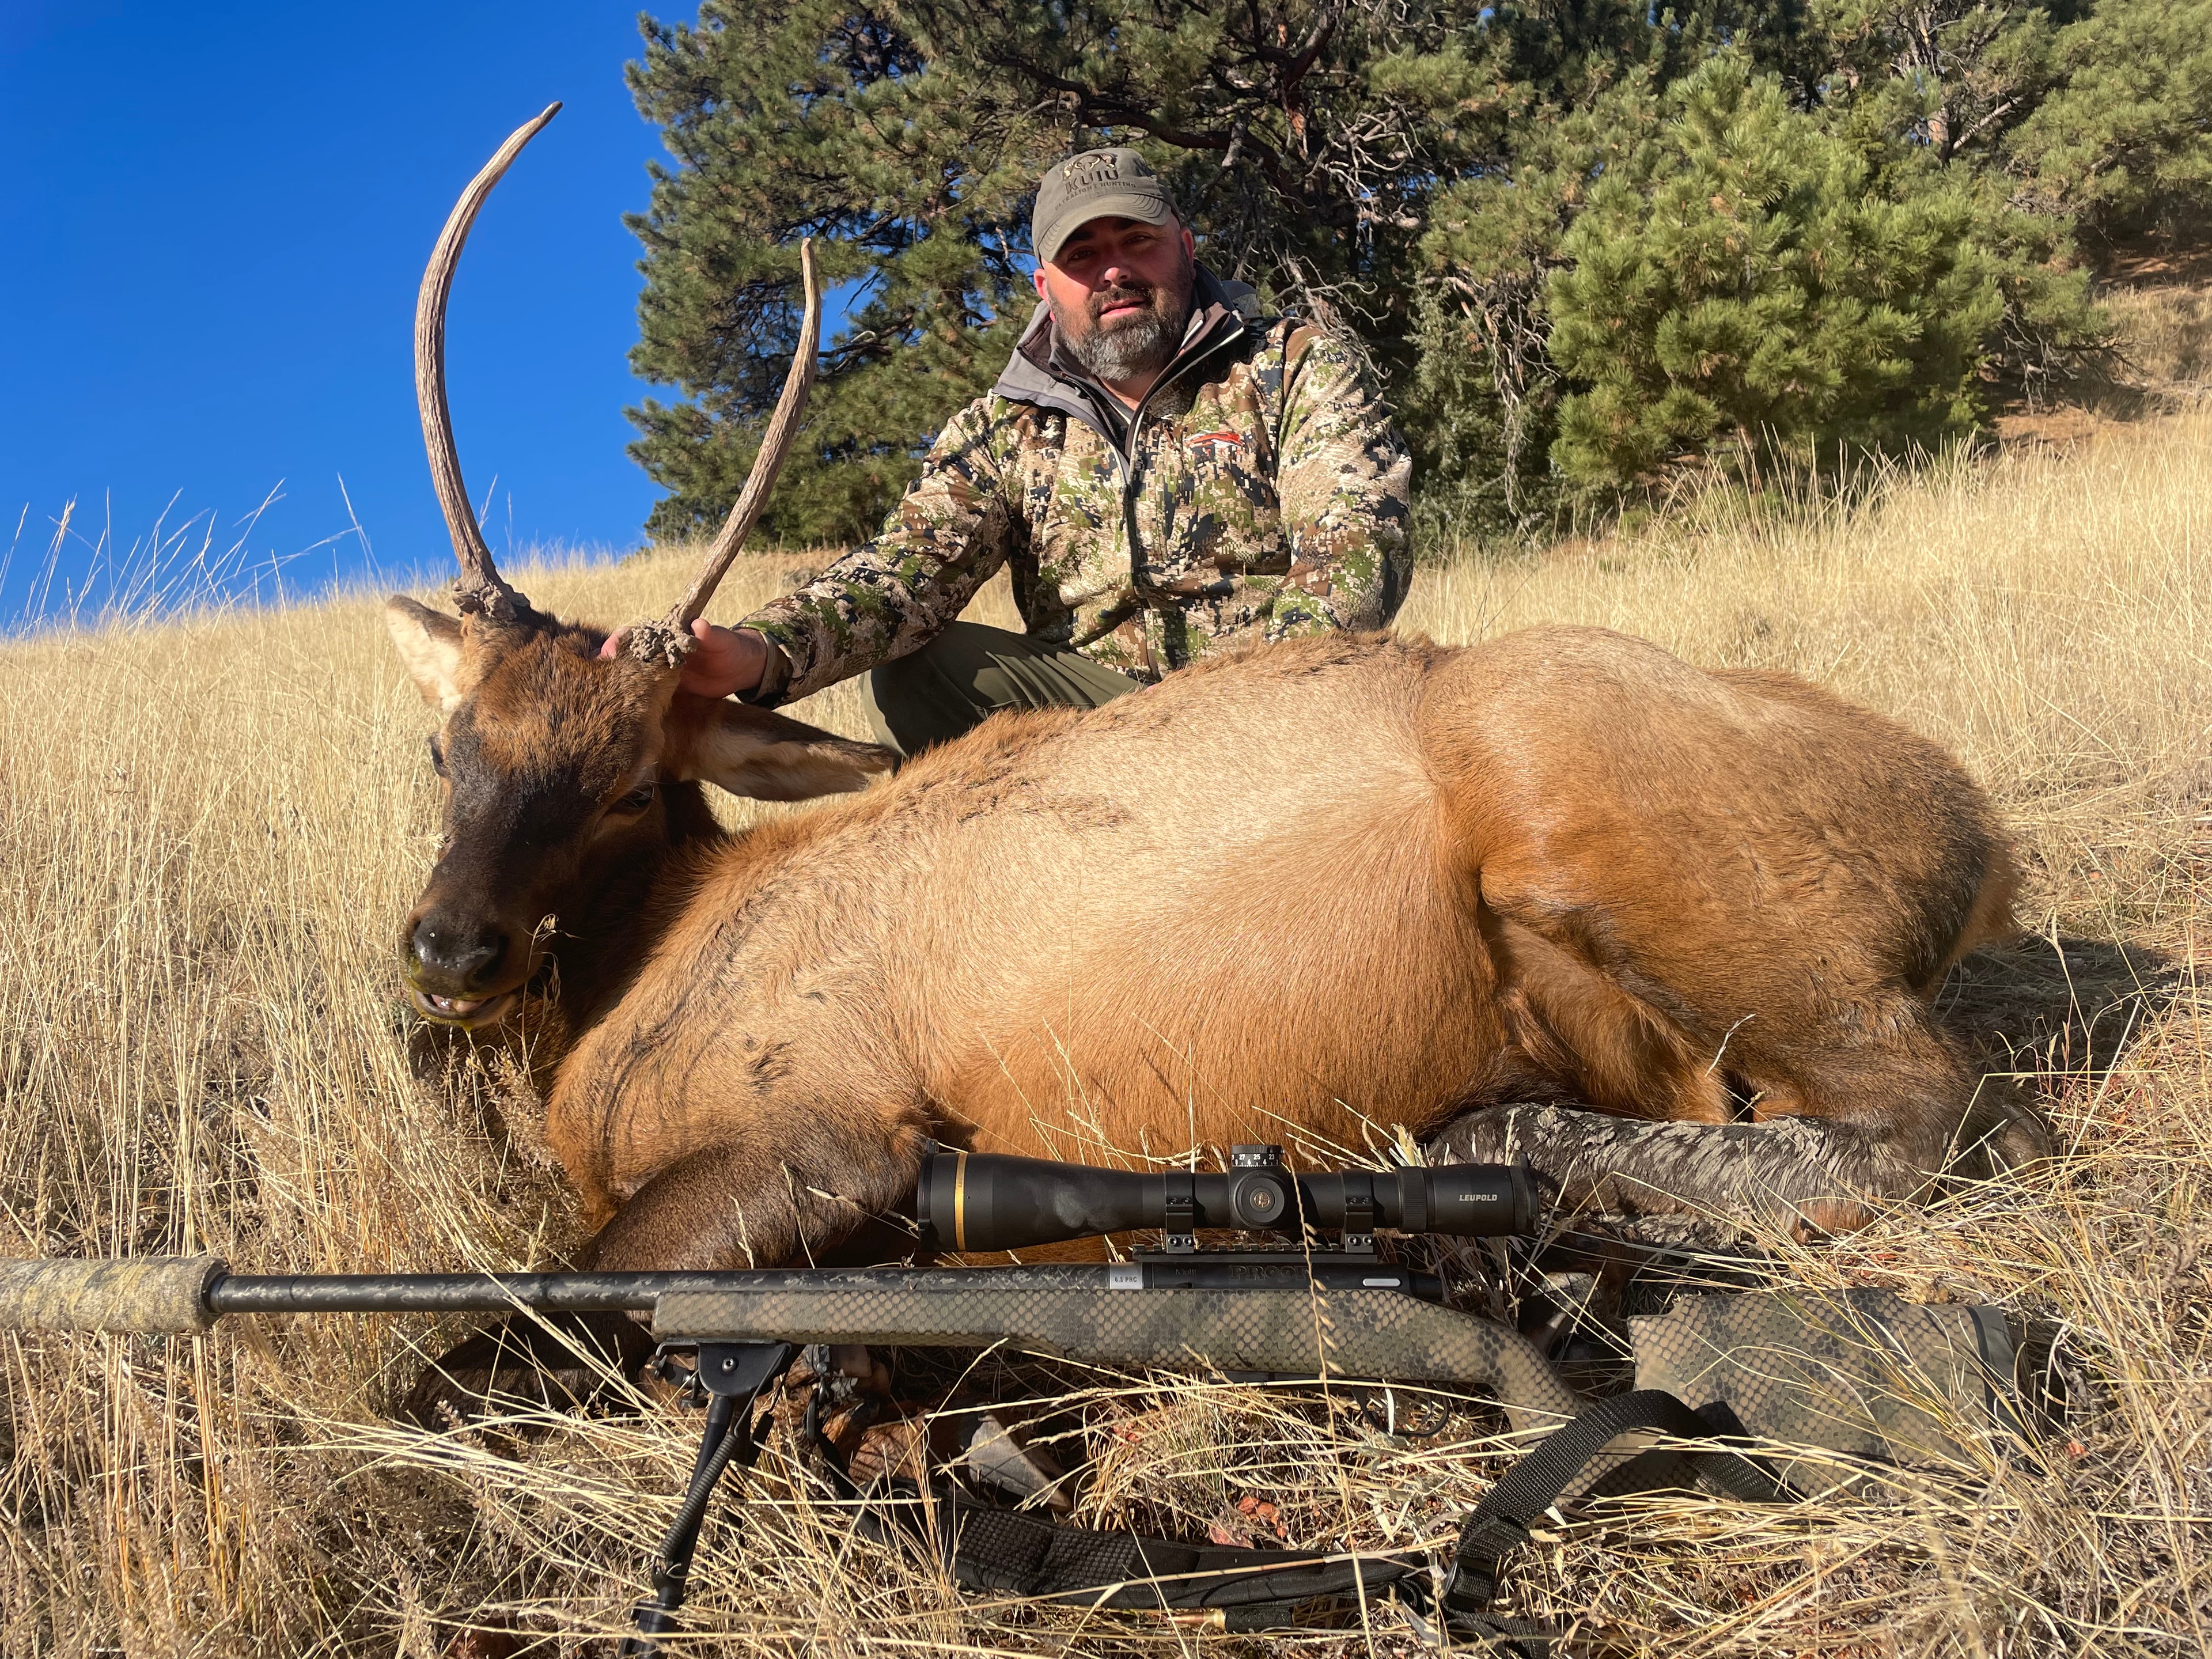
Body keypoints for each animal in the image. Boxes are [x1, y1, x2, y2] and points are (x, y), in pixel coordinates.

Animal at [382, 111, 2046, 1403]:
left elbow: (473, 1347)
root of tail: (1975, 832)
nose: (453, 951)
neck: (654, 968)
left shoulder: (828, 1141)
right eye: (448, 745)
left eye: (626, 780)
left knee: (1931, 1116)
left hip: (1588, 808)